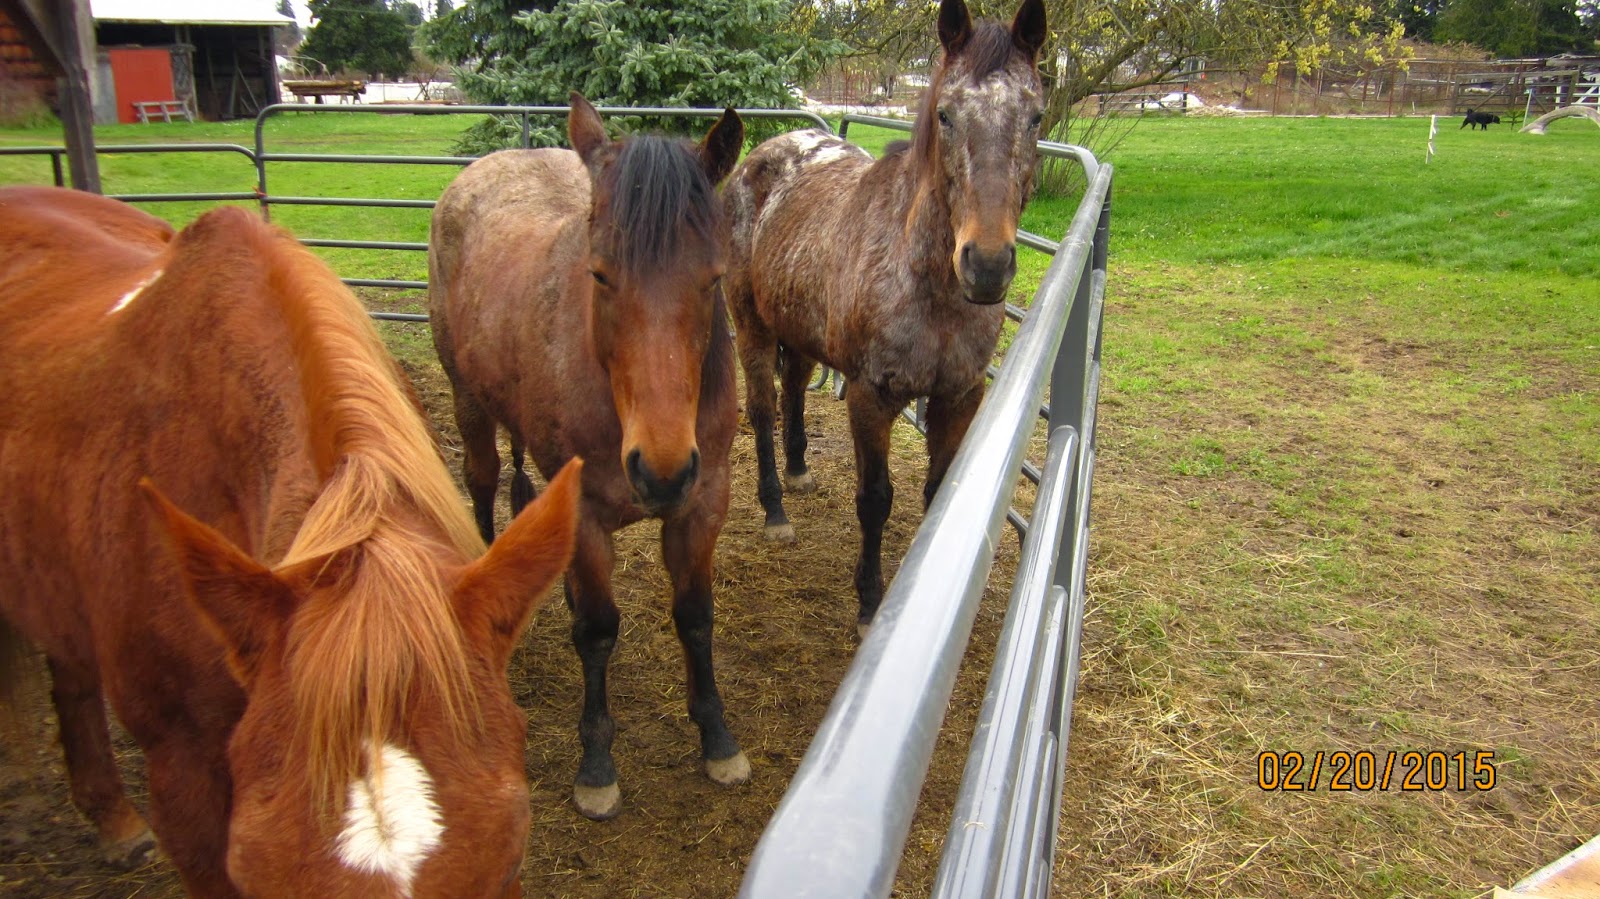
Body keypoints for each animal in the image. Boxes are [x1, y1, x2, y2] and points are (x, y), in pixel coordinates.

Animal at [428, 94, 747, 821]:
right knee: (482, 483)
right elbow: (599, 629)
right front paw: (597, 764)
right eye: (600, 275)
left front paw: (717, 736)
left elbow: (696, 616)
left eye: (713, 278)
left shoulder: (703, 500)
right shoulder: (590, 517)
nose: (660, 471)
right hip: (468, 401)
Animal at [722, 0, 1047, 633]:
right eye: (945, 114)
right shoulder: (870, 397)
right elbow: (875, 500)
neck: (927, 288)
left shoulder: (958, 396)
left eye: (1035, 116)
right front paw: (872, 605)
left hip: (800, 330)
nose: (987, 265)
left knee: (794, 386)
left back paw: (799, 470)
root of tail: (761, 157)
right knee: (764, 406)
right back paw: (775, 510)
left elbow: (937, 492)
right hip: (751, 326)